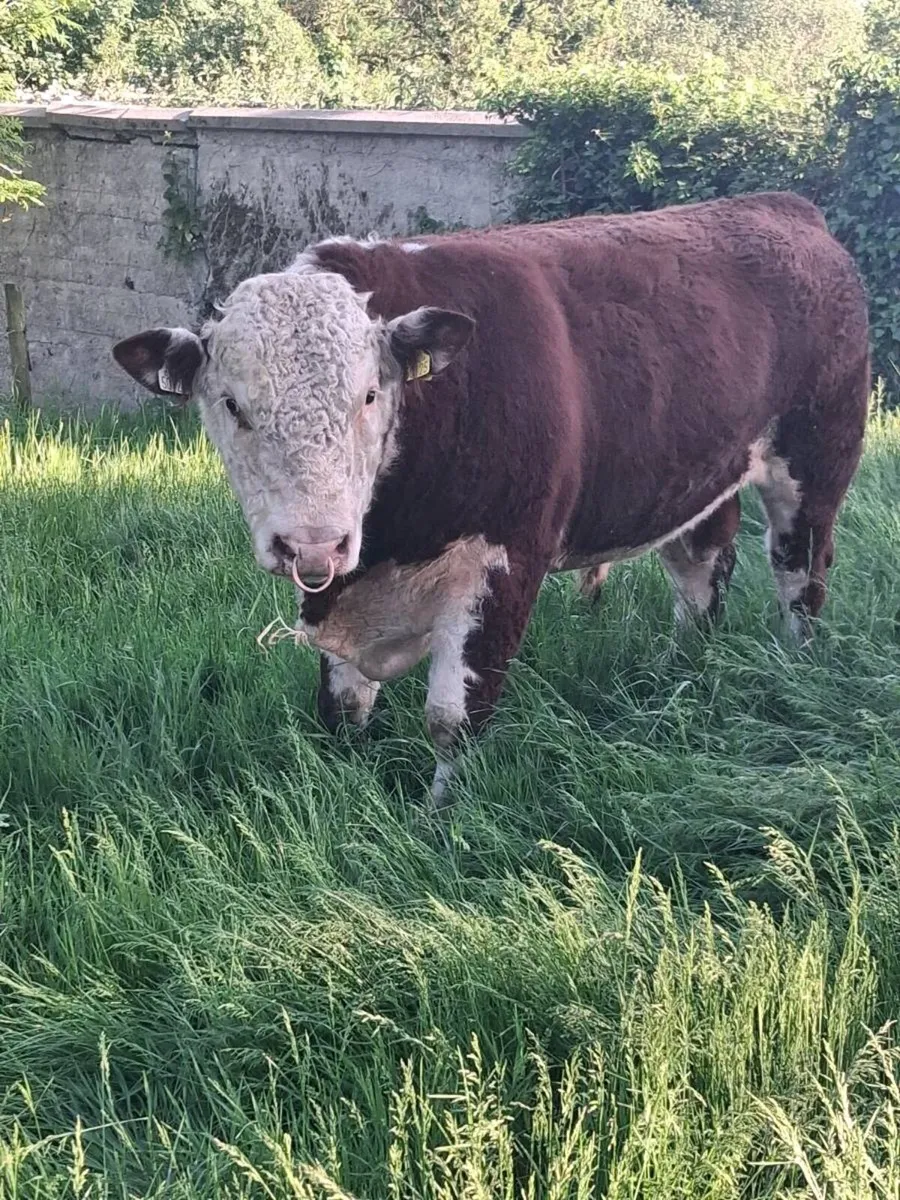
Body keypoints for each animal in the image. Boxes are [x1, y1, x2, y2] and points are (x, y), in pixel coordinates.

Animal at [113, 192, 870, 805]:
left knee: (800, 573)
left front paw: (440, 821)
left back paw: (796, 666)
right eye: (233, 405)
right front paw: (342, 786)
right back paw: (681, 670)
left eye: (369, 395)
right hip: (702, 474)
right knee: (702, 568)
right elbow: (343, 707)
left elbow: (454, 720)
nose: (313, 543)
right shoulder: (340, 596)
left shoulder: (507, 562)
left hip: (816, 462)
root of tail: (785, 207)